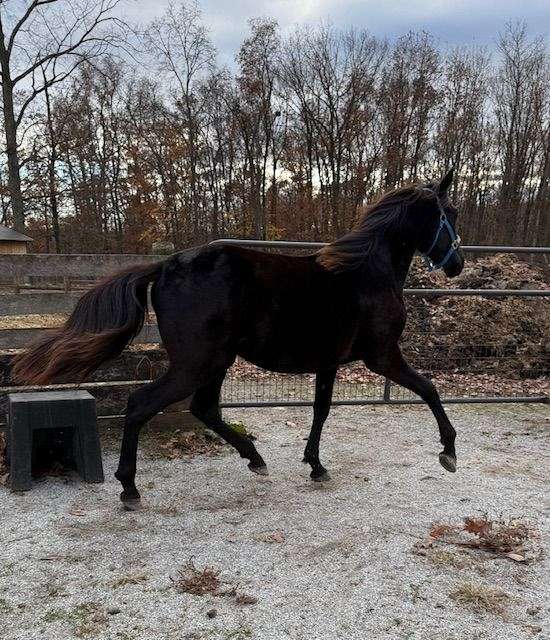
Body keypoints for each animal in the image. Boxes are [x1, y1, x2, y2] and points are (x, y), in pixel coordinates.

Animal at [13, 169, 464, 510]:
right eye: (452, 214)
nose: (457, 264)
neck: (365, 273)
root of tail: (165, 266)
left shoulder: (329, 363)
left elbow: (320, 411)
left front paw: (315, 465)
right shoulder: (383, 357)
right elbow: (429, 389)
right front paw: (448, 452)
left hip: (216, 362)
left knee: (204, 409)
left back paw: (255, 458)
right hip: (198, 363)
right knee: (142, 403)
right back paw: (129, 489)